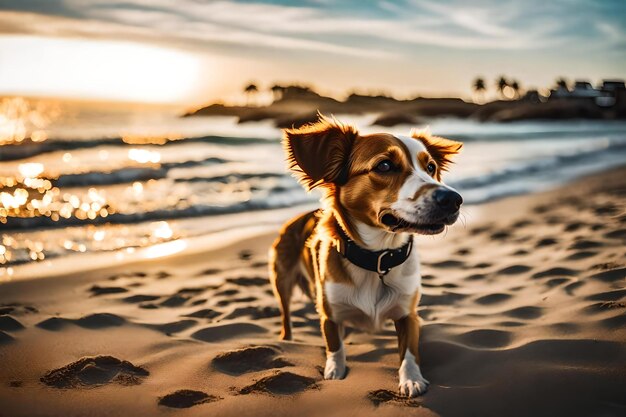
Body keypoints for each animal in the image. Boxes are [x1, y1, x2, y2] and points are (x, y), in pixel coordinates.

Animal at [266, 114, 460, 396]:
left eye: (431, 167)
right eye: (385, 165)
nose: (454, 199)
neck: (377, 259)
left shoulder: (408, 314)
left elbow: (409, 351)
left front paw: (411, 379)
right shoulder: (330, 314)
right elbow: (334, 347)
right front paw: (335, 372)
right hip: (282, 283)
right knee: (286, 318)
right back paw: (287, 340)